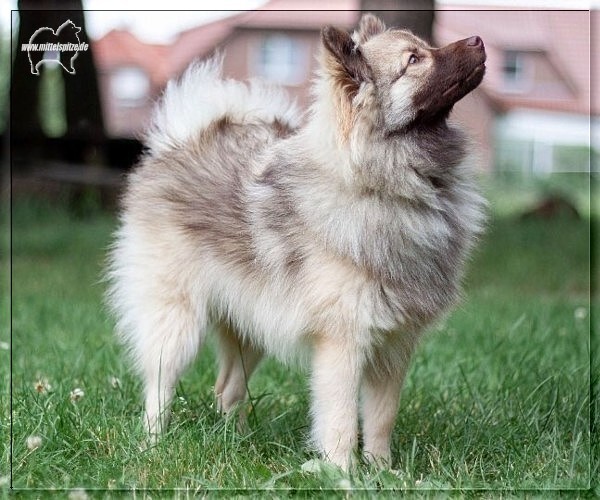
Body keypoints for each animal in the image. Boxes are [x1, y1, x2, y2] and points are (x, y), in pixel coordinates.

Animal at [105, 13, 486, 470]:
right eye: (413, 60)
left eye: (423, 48)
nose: (479, 40)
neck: (389, 184)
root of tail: (180, 143)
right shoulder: (343, 343)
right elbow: (341, 421)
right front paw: (342, 473)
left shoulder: (394, 346)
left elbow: (381, 418)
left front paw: (382, 470)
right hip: (176, 323)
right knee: (159, 388)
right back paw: (154, 446)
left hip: (251, 328)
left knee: (227, 389)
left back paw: (237, 442)